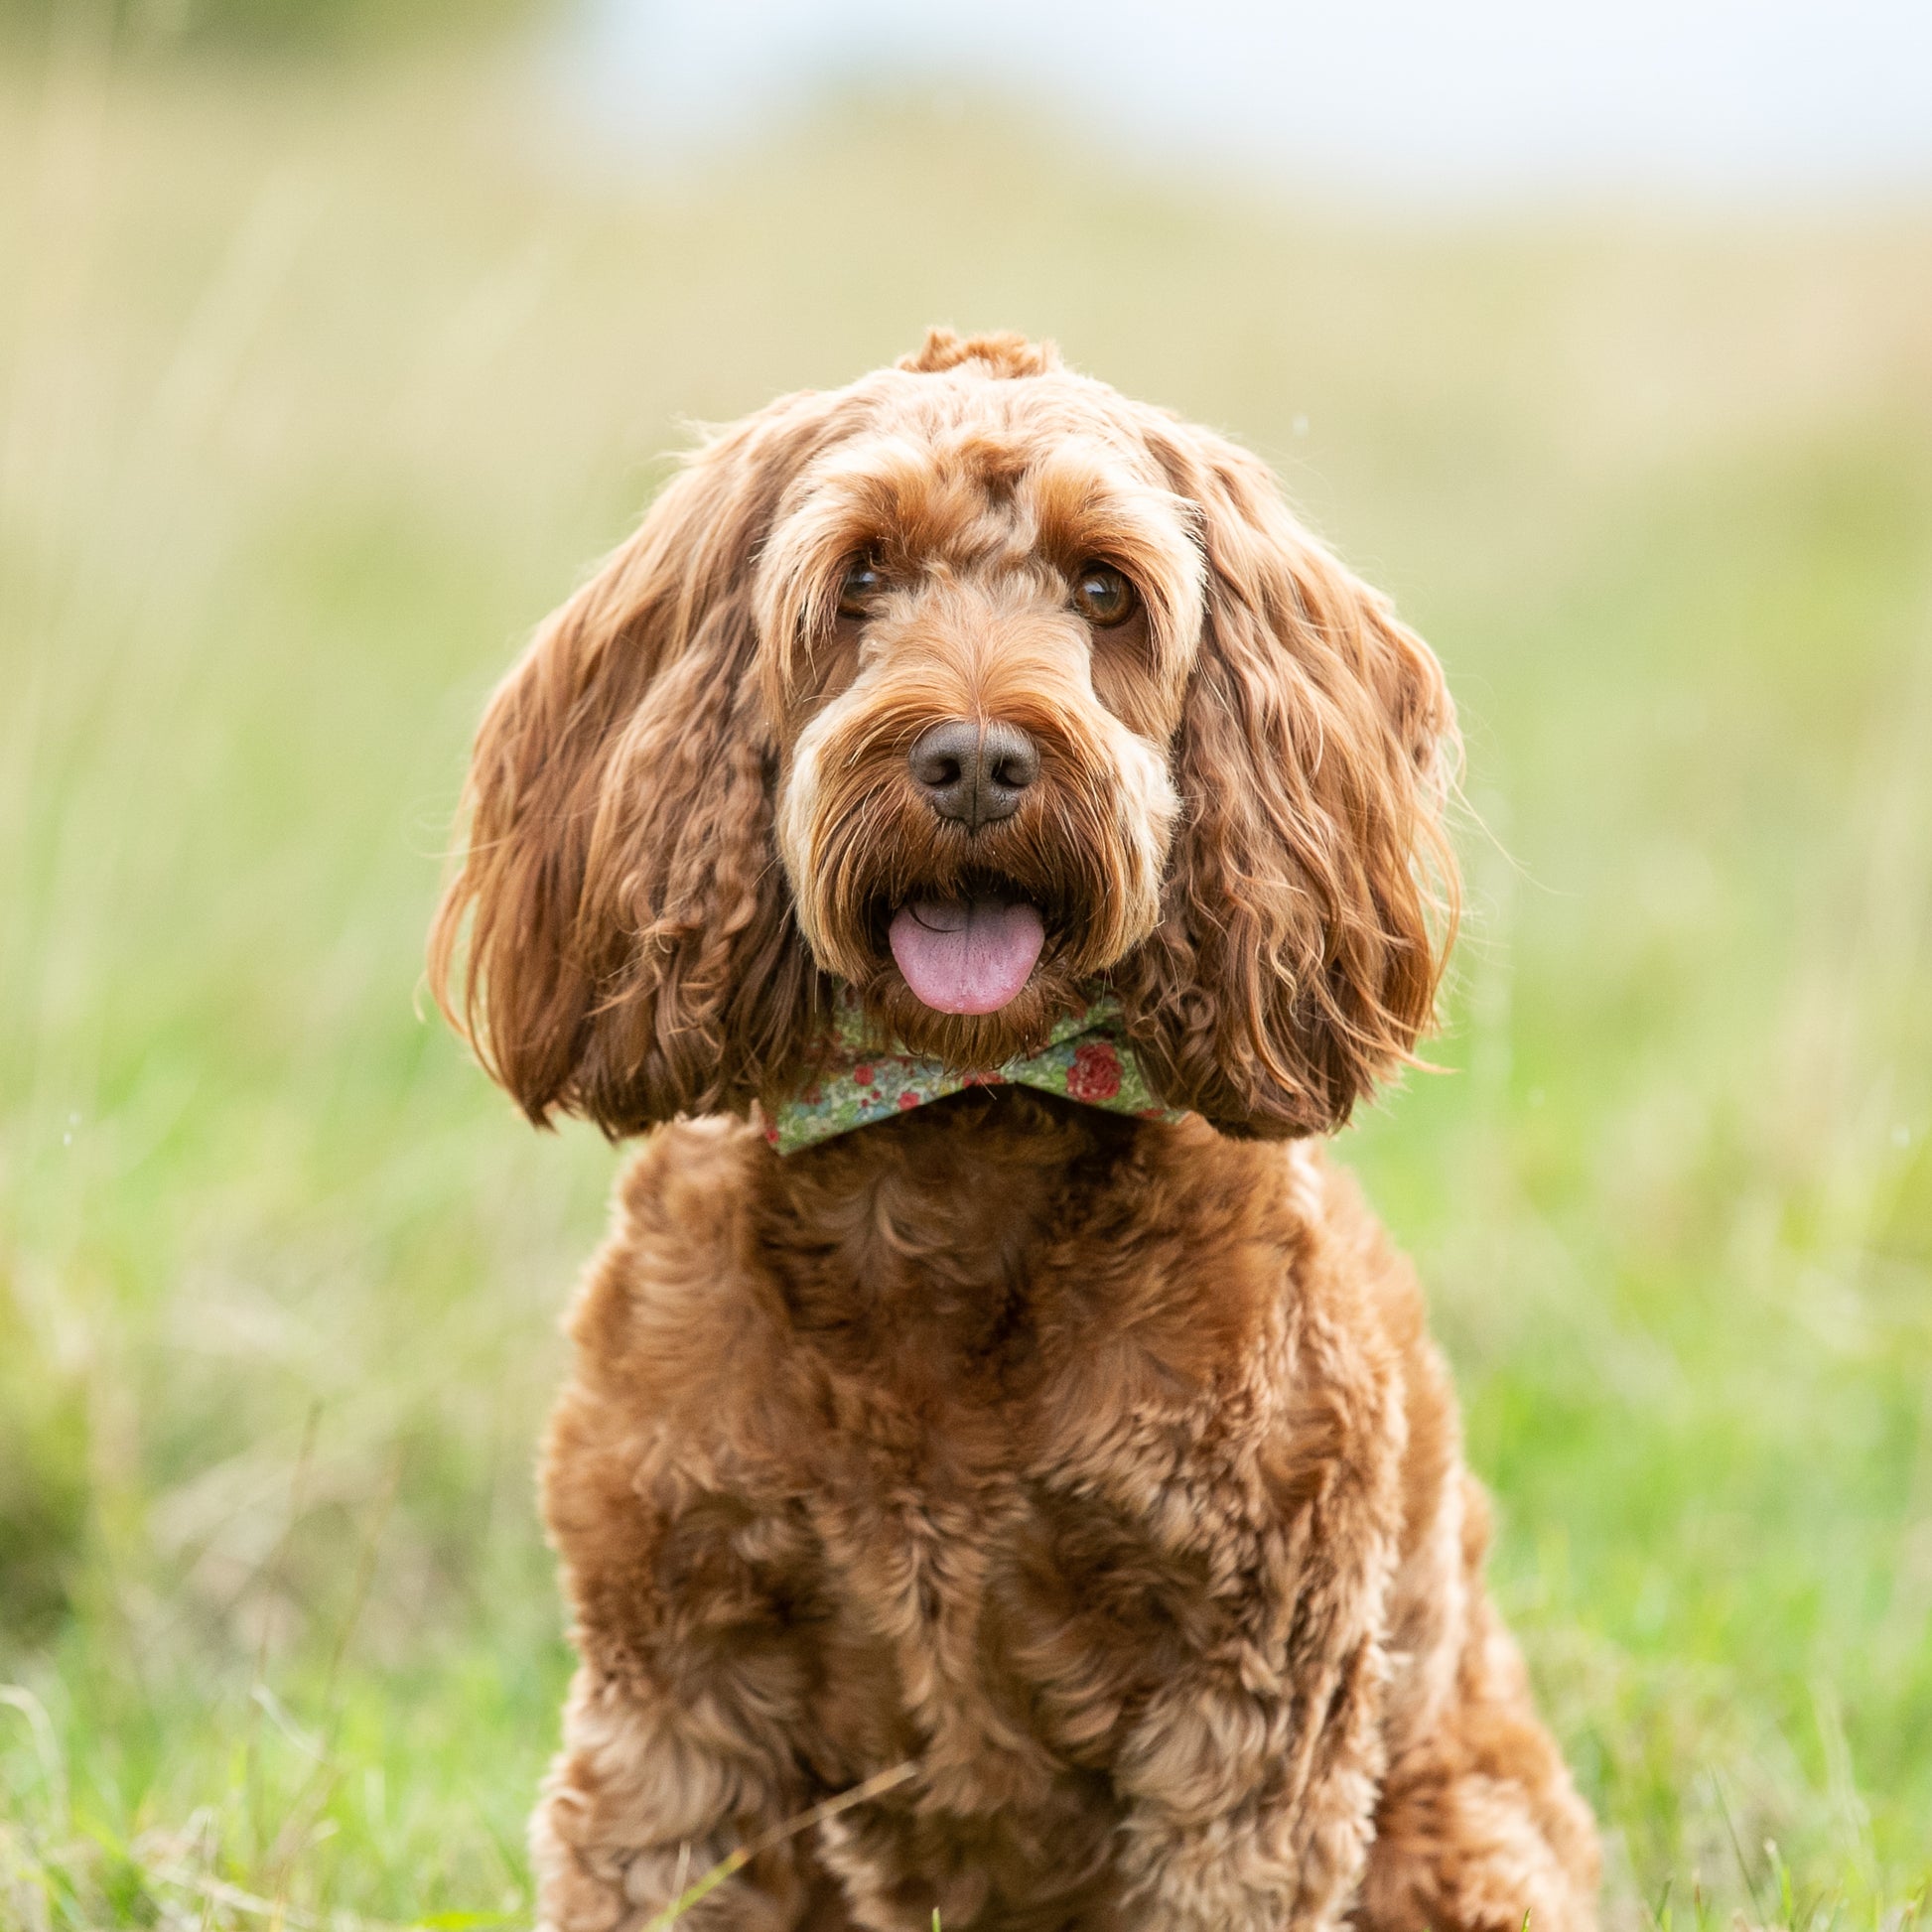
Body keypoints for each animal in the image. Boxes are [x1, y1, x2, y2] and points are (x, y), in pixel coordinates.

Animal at [438, 332, 1599, 1932]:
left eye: (1103, 590)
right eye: (860, 576)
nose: (977, 760)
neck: (947, 1142)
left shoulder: (1248, 1713)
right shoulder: (677, 1700)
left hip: (1455, 1840)